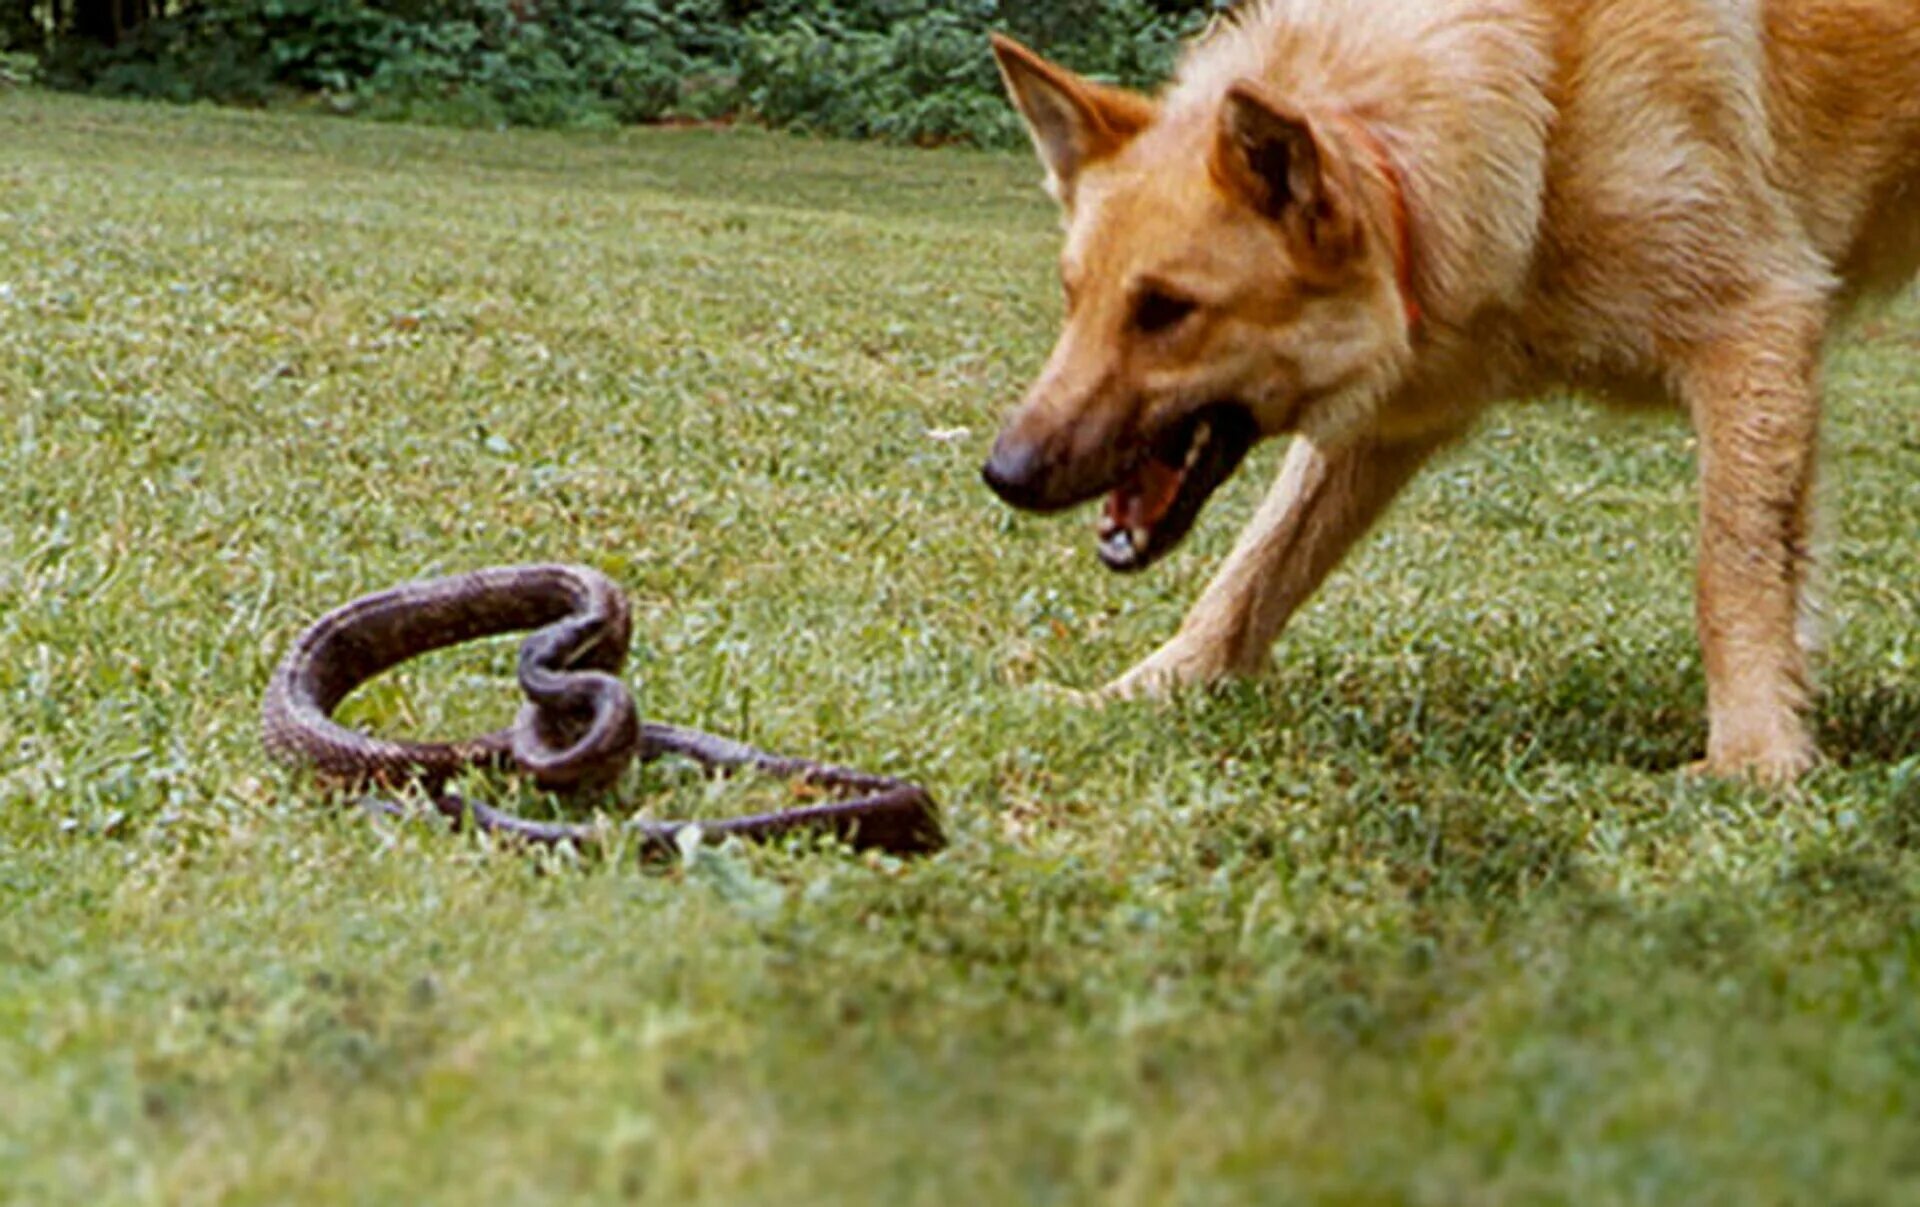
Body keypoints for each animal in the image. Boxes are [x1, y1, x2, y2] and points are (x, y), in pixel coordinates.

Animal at [983, 0, 1920, 782]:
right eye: (1073, 295)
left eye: (1166, 310)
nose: (1003, 474)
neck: (1553, 107)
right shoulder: (1384, 420)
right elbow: (1253, 570)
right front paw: (1147, 687)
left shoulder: (1756, 330)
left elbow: (1732, 566)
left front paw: (1756, 755)